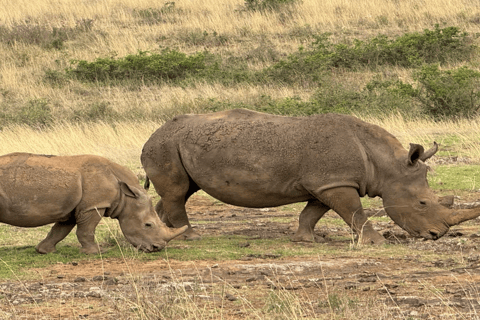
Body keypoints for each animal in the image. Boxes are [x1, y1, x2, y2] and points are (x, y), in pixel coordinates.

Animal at [0, 151, 188, 254]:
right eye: (148, 225)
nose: (157, 248)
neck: (126, 195)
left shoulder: (75, 207)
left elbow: (59, 230)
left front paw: (45, 251)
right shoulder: (94, 205)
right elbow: (86, 230)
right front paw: (96, 252)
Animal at [140, 109, 480, 244]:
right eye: (422, 203)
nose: (436, 235)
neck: (386, 165)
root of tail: (152, 134)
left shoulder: (326, 182)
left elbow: (313, 212)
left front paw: (308, 239)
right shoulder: (335, 181)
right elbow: (355, 213)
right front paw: (376, 241)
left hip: (174, 145)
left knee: (180, 191)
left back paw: (165, 233)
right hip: (165, 145)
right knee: (177, 192)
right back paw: (190, 236)